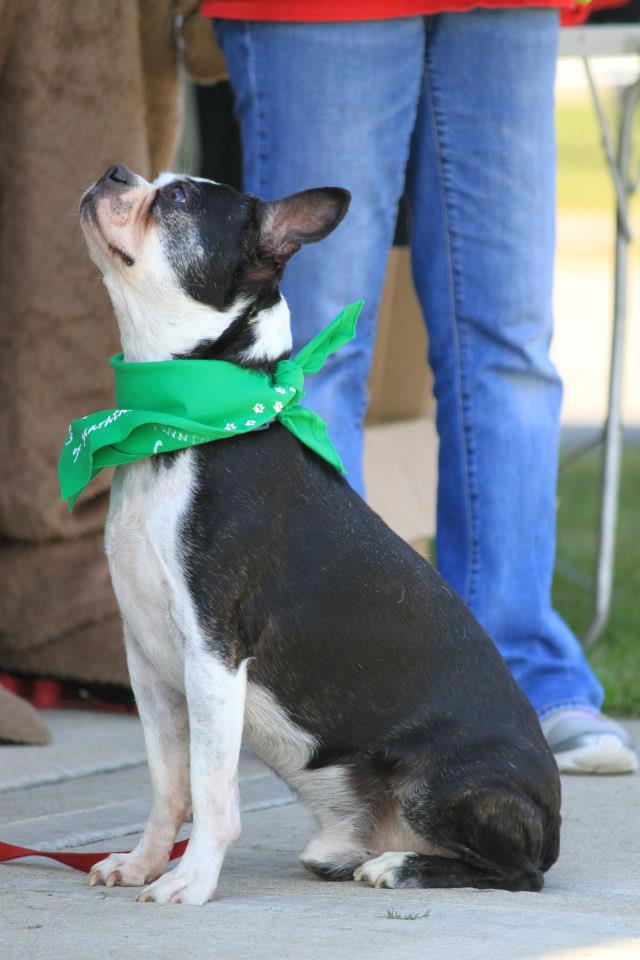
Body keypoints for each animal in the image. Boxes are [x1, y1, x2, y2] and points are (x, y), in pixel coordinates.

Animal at [80, 161, 560, 904]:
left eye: (178, 197)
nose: (114, 171)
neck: (182, 420)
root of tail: (555, 818)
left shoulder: (212, 654)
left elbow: (210, 790)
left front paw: (191, 881)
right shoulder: (149, 663)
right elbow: (168, 784)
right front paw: (143, 862)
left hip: (448, 782)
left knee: (520, 874)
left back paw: (402, 866)